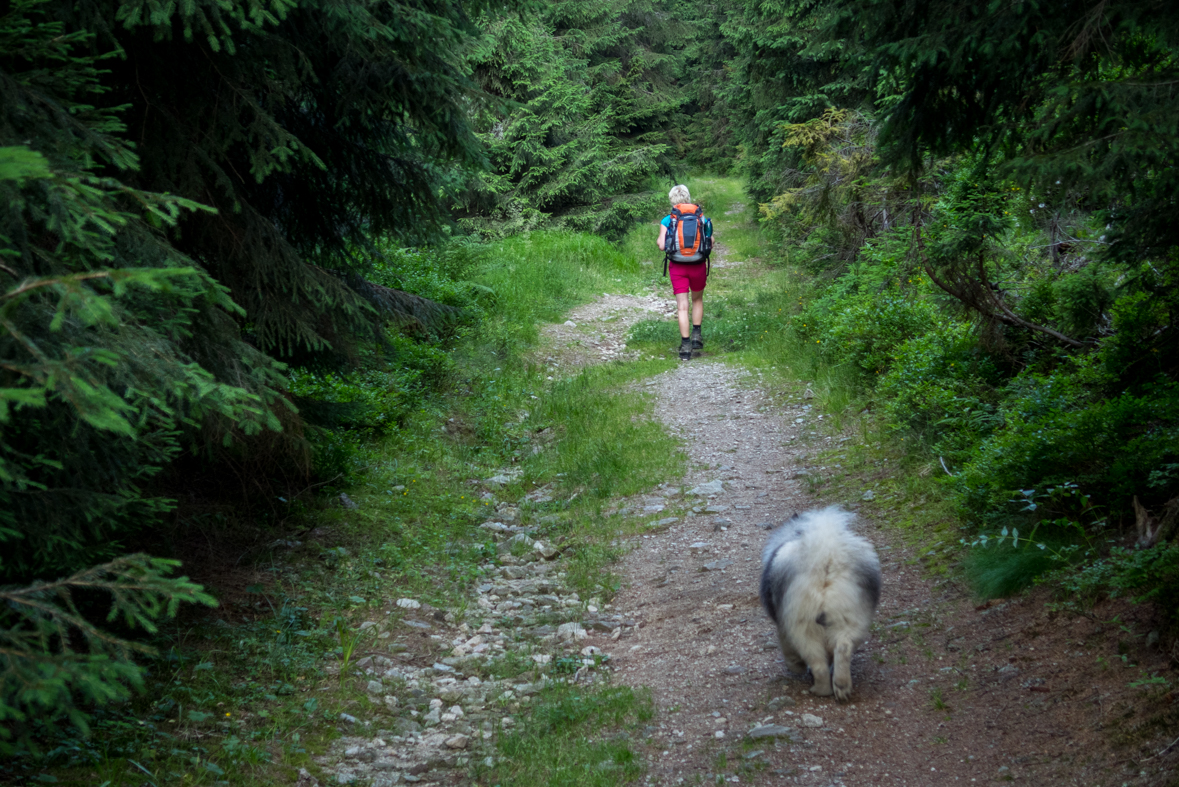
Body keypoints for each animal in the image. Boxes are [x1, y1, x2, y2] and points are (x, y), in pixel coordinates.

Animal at [759, 511, 881, 702]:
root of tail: (827, 562)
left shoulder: (783, 628)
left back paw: (820, 689)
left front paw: (796, 666)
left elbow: (788, 651)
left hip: (803, 627)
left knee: (818, 664)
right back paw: (841, 686)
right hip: (850, 619)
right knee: (843, 649)